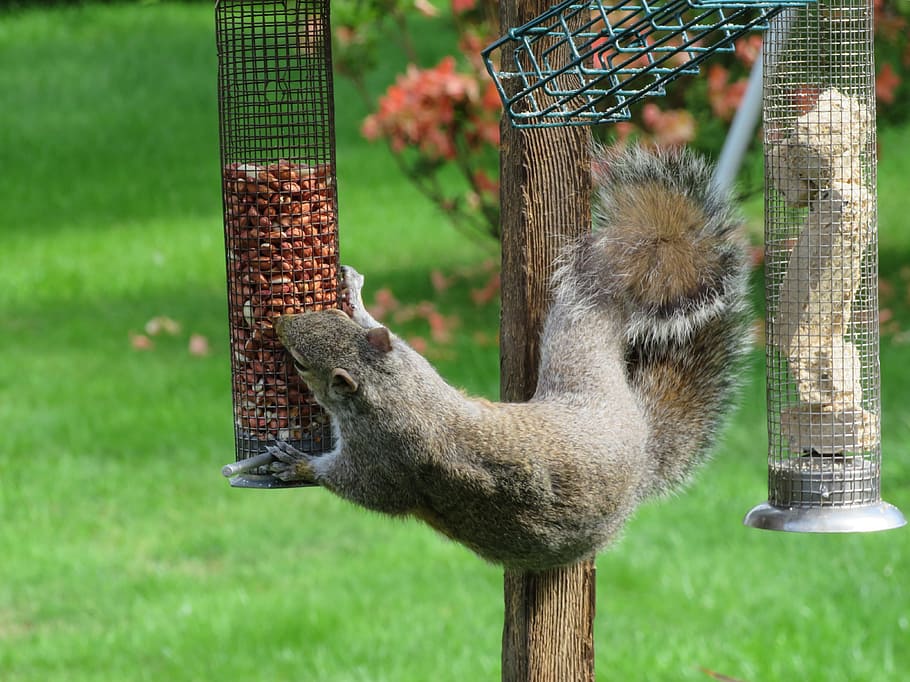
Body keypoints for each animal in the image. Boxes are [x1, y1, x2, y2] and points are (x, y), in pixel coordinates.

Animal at [266, 145, 751, 571]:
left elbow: (359, 487)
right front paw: (354, 293)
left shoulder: (384, 456)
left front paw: (297, 464)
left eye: (300, 362)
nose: (280, 325)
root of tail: (640, 443)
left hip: (575, 356)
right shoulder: (411, 362)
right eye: (329, 318)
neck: (388, 386)